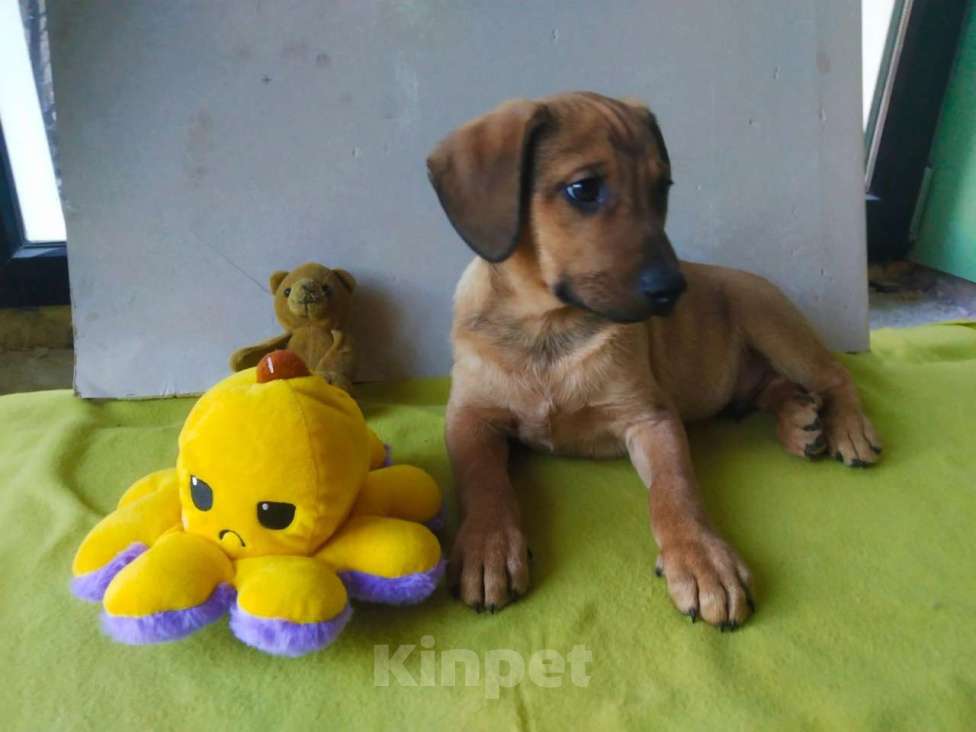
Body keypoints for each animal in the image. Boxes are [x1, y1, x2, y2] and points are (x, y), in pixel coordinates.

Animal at [428, 91, 884, 628]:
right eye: (584, 189)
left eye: (662, 187)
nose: (674, 290)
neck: (549, 329)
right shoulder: (469, 417)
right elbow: (482, 480)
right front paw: (488, 545)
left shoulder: (650, 417)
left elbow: (675, 489)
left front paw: (701, 557)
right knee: (769, 389)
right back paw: (800, 420)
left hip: (770, 321)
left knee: (835, 375)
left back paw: (846, 428)